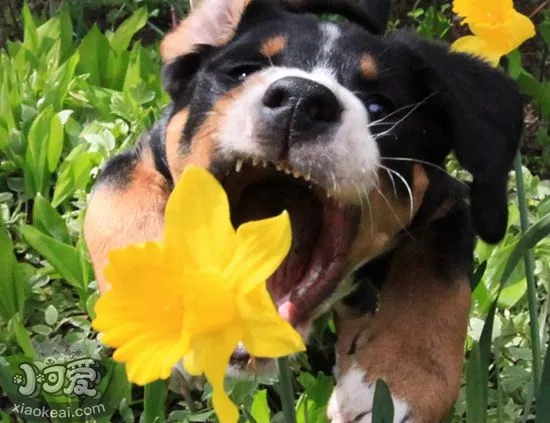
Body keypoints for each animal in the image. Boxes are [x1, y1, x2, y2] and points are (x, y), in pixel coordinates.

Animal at [84, 1, 524, 422]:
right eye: (243, 72)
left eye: (379, 105)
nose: (299, 99)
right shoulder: (145, 154)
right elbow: (115, 198)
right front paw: (155, 297)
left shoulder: (445, 202)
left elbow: (437, 282)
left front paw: (398, 382)